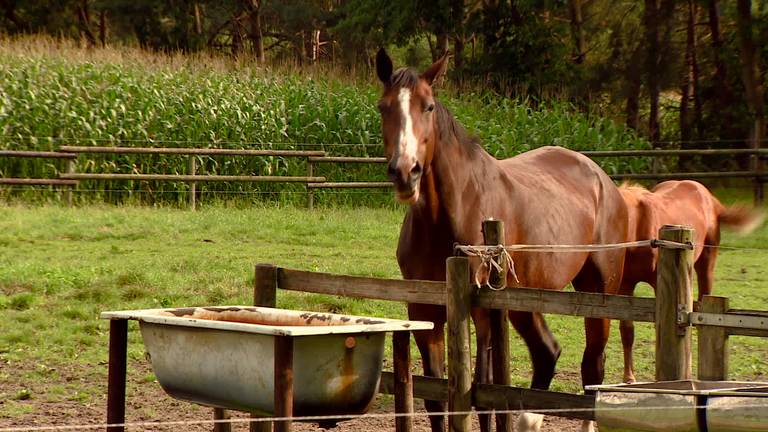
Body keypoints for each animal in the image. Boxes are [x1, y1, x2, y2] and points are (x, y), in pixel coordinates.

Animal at [376, 49, 628, 432]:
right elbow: (435, 398)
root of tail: (603, 180)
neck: (450, 216)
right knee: (547, 352)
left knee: (593, 367)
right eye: (383, 107)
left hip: (599, 292)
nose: (406, 172)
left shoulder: (481, 314)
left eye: (428, 106)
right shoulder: (425, 313)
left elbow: (483, 395)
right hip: (526, 300)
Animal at [616, 181, 760, 384]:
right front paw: (629, 377)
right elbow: (627, 331)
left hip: (706, 265)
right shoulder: (626, 285)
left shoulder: (659, 283)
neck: (638, 224)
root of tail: (711, 199)